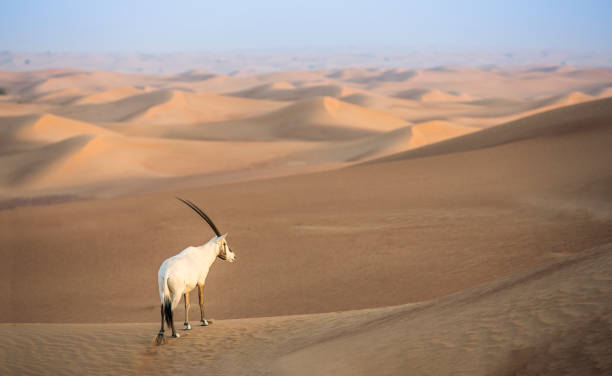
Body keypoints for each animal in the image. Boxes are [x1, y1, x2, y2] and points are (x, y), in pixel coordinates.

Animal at [154, 198, 235, 346]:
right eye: (225, 243)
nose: (234, 256)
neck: (203, 253)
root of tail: (166, 271)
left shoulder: (187, 289)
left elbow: (187, 304)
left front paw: (187, 325)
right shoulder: (201, 282)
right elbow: (200, 301)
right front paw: (204, 322)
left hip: (162, 291)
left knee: (163, 309)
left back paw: (161, 332)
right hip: (176, 293)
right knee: (171, 309)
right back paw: (175, 334)